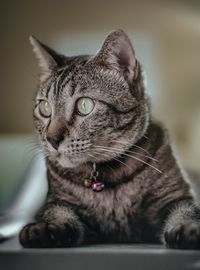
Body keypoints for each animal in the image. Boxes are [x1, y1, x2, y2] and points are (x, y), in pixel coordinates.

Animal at [19, 29, 200, 249]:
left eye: (84, 105)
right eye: (45, 108)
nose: (52, 138)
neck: (108, 178)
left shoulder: (175, 196)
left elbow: (185, 212)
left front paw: (189, 227)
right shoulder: (58, 201)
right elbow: (56, 212)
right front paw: (46, 227)